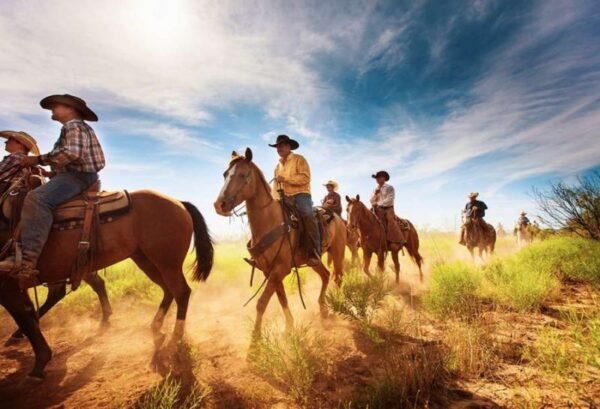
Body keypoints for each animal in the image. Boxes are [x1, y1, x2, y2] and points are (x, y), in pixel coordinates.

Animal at [0, 187, 214, 376]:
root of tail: (179, 203)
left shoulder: (8, 288)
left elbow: (25, 319)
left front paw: (40, 362)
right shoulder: (17, 288)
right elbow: (28, 316)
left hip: (166, 263)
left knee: (181, 292)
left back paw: (174, 338)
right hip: (146, 260)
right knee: (168, 290)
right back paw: (156, 328)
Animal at [214, 148, 346, 336]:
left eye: (242, 175)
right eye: (225, 174)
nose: (220, 205)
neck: (270, 221)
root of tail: (336, 217)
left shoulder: (280, 269)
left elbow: (262, 302)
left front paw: (255, 339)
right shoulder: (269, 271)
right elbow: (282, 298)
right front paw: (289, 328)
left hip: (337, 252)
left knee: (338, 277)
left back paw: (339, 304)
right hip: (313, 260)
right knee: (326, 275)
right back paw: (323, 310)